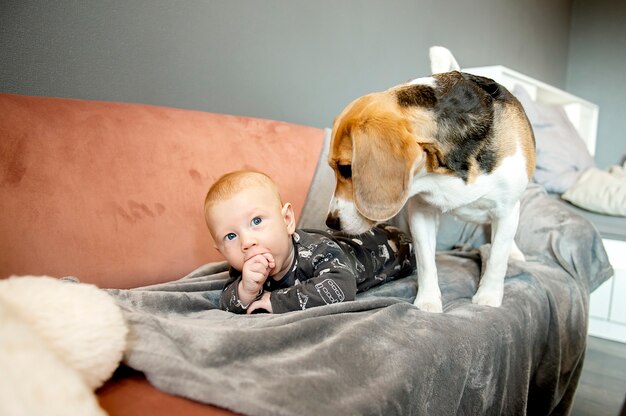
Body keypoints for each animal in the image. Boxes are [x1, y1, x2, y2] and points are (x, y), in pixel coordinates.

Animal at [324, 54, 532, 312]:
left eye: (346, 168)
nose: (330, 222)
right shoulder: (421, 211)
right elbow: (426, 261)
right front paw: (428, 301)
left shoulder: (506, 210)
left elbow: (497, 258)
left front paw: (488, 296)